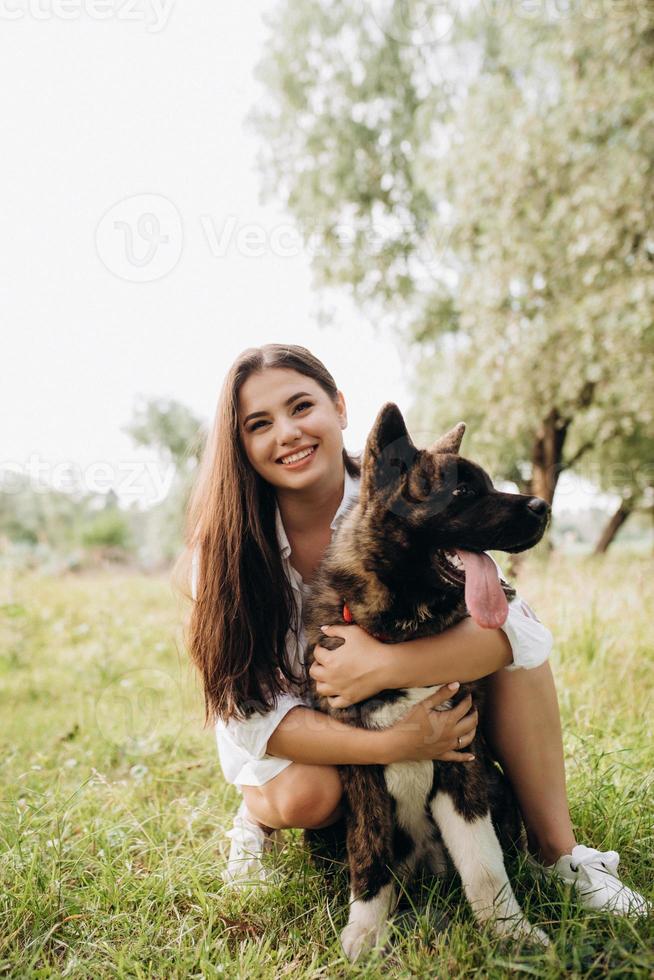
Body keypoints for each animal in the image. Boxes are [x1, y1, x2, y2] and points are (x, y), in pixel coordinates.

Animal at [304, 402, 552, 960]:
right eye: (461, 494)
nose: (544, 506)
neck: (402, 636)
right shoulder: (363, 774)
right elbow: (369, 856)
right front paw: (366, 931)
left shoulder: (465, 769)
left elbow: (485, 865)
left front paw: (509, 930)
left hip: (499, 788)